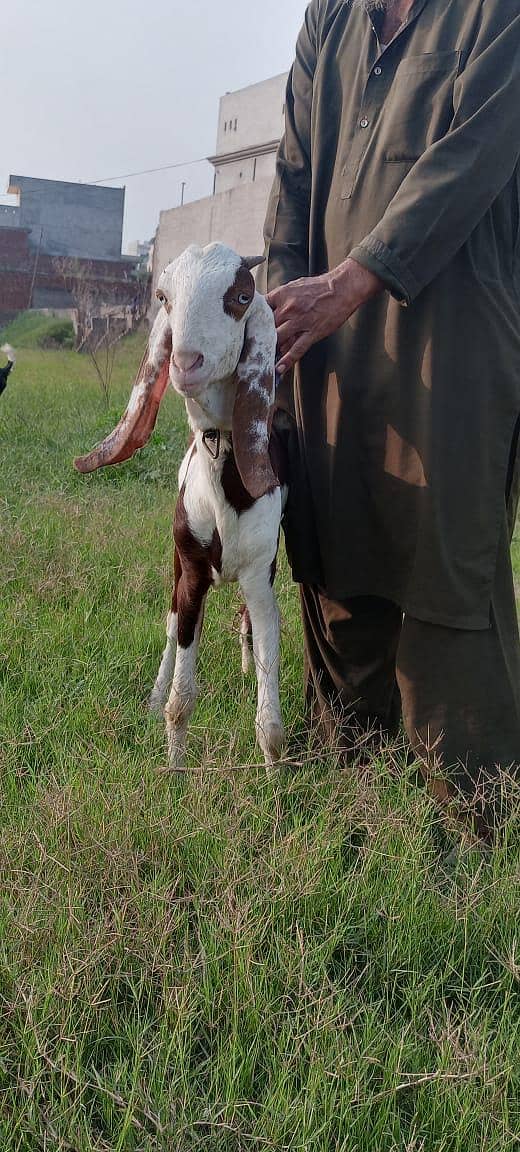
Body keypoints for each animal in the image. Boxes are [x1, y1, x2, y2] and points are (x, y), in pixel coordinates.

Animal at [75, 243, 286, 768]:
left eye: (241, 295)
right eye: (164, 297)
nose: (186, 362)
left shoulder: (261, 575)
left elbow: (269, 693)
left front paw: (275, 773)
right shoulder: (191, 570)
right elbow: (181, 695)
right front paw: (174, 768)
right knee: (171, 627)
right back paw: (152, 697)